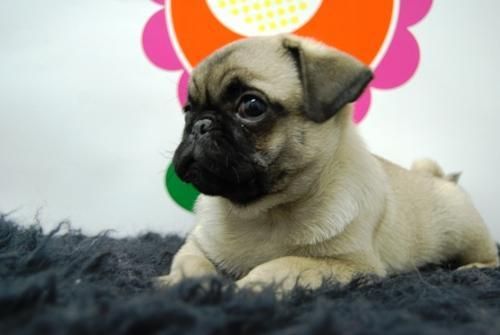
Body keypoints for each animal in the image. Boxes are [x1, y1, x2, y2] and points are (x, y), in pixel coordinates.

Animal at [155, 32, 496, 292]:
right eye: (188, 111)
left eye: (251, 106)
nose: (200, 125)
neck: (263, 212)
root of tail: (440, 178)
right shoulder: (196, 245)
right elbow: (190, 263)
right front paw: (186, 284)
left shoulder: (348, 264)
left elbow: (282, 265)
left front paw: (246, 287)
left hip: (467, 233)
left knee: (490, 257)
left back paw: (473, 268)